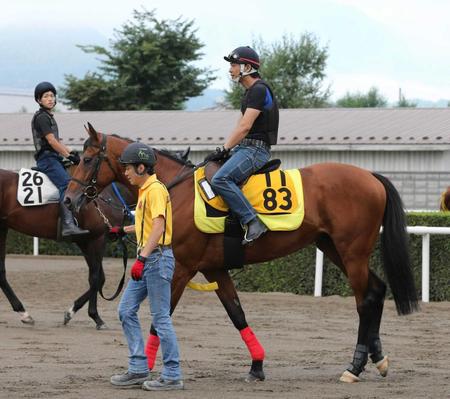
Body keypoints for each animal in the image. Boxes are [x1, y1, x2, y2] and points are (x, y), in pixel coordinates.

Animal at [0, 165, 134, 328]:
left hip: (2, 227)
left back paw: (23, 313)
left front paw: (74, 311)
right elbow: (96, 278)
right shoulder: (97, 239)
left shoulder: (85, 241)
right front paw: (95, 316)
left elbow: (99, 278)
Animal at [65, 125, 420, 384]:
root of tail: (371, 176)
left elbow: (159, 319)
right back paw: (378, 359)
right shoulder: (214, 269)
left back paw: (354, 366)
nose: (69, 200)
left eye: (86, 159)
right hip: (333, 248)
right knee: (376, 291)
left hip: (352, 251)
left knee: (365, 301)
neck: (174, 189)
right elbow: (237, 315)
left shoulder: (182, 268)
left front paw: (148, 372)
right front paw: (257, 365)